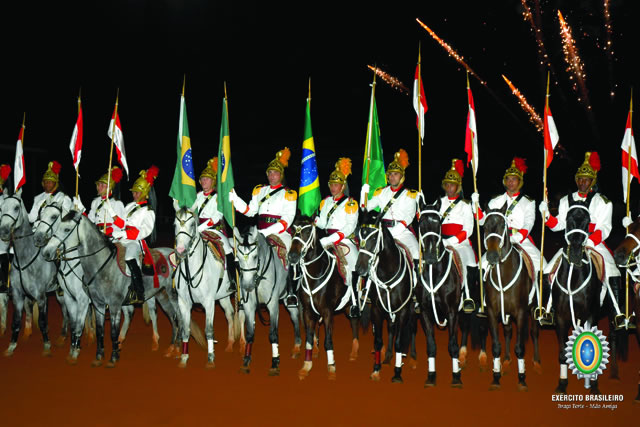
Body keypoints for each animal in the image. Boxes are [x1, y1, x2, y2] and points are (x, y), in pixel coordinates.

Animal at [40, 211, 180, 368]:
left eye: (66, 229)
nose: (46, 252)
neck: (102, 266)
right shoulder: (98, 304)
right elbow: (100, 330)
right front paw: (99, 356)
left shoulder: (113, 305)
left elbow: (112, 332)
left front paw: (113, 357)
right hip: (162, 295)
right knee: (173, 318)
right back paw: (171, 347)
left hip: (173, 296)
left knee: (179, 318)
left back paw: (177, 349)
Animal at [235, 227, 302, 374]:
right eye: (238, 259)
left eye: (255, 256)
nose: (247, 286)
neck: (259, 277)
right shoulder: (249, 305)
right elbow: (250, 333)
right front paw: (246, 360)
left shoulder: (272, 305)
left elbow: (273, 334)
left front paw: (275, 362)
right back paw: (297, 347)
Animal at [356, 209, 416, 382]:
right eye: (359, 236)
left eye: (374, 237)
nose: (360, 268)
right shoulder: (377, 309)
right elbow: (378, 340)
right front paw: (376, 368)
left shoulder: (403, 310)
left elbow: (399, 341)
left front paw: (397, 372)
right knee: (390, 327)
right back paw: (389, 356)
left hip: (412, 309)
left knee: (412, 328)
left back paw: (412, 357)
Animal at [480, 202, 540, 392]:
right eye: (485, 227)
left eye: (502, 226)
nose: (492, 256)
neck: (503, 274)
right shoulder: (493, 313)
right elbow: (496, 346)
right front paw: (496, 376)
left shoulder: (521, 313)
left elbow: (520, 347)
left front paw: (522, 379)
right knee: (507, 331)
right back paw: (506, 360)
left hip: (533, 309)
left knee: (534, 332)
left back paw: (537, 362)